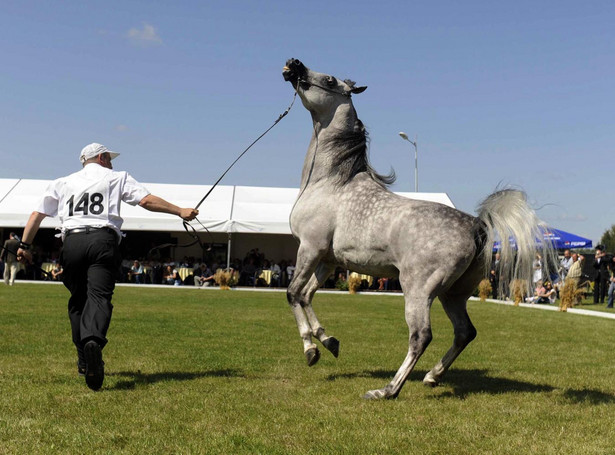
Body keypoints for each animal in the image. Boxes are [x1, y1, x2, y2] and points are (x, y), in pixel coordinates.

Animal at [282, 58, 548, 400]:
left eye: (329, 79)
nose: (293, 64)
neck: (331, 182)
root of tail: (477, 226)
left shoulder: (310, 248)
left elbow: (293, 294)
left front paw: (311, 351)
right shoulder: (328, 259)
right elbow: (307, 296)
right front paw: (327, 342)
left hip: (418, 290)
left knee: (421, 335)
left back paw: (387, 390)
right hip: (453, 294)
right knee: (465, 332)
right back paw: (432, 376)